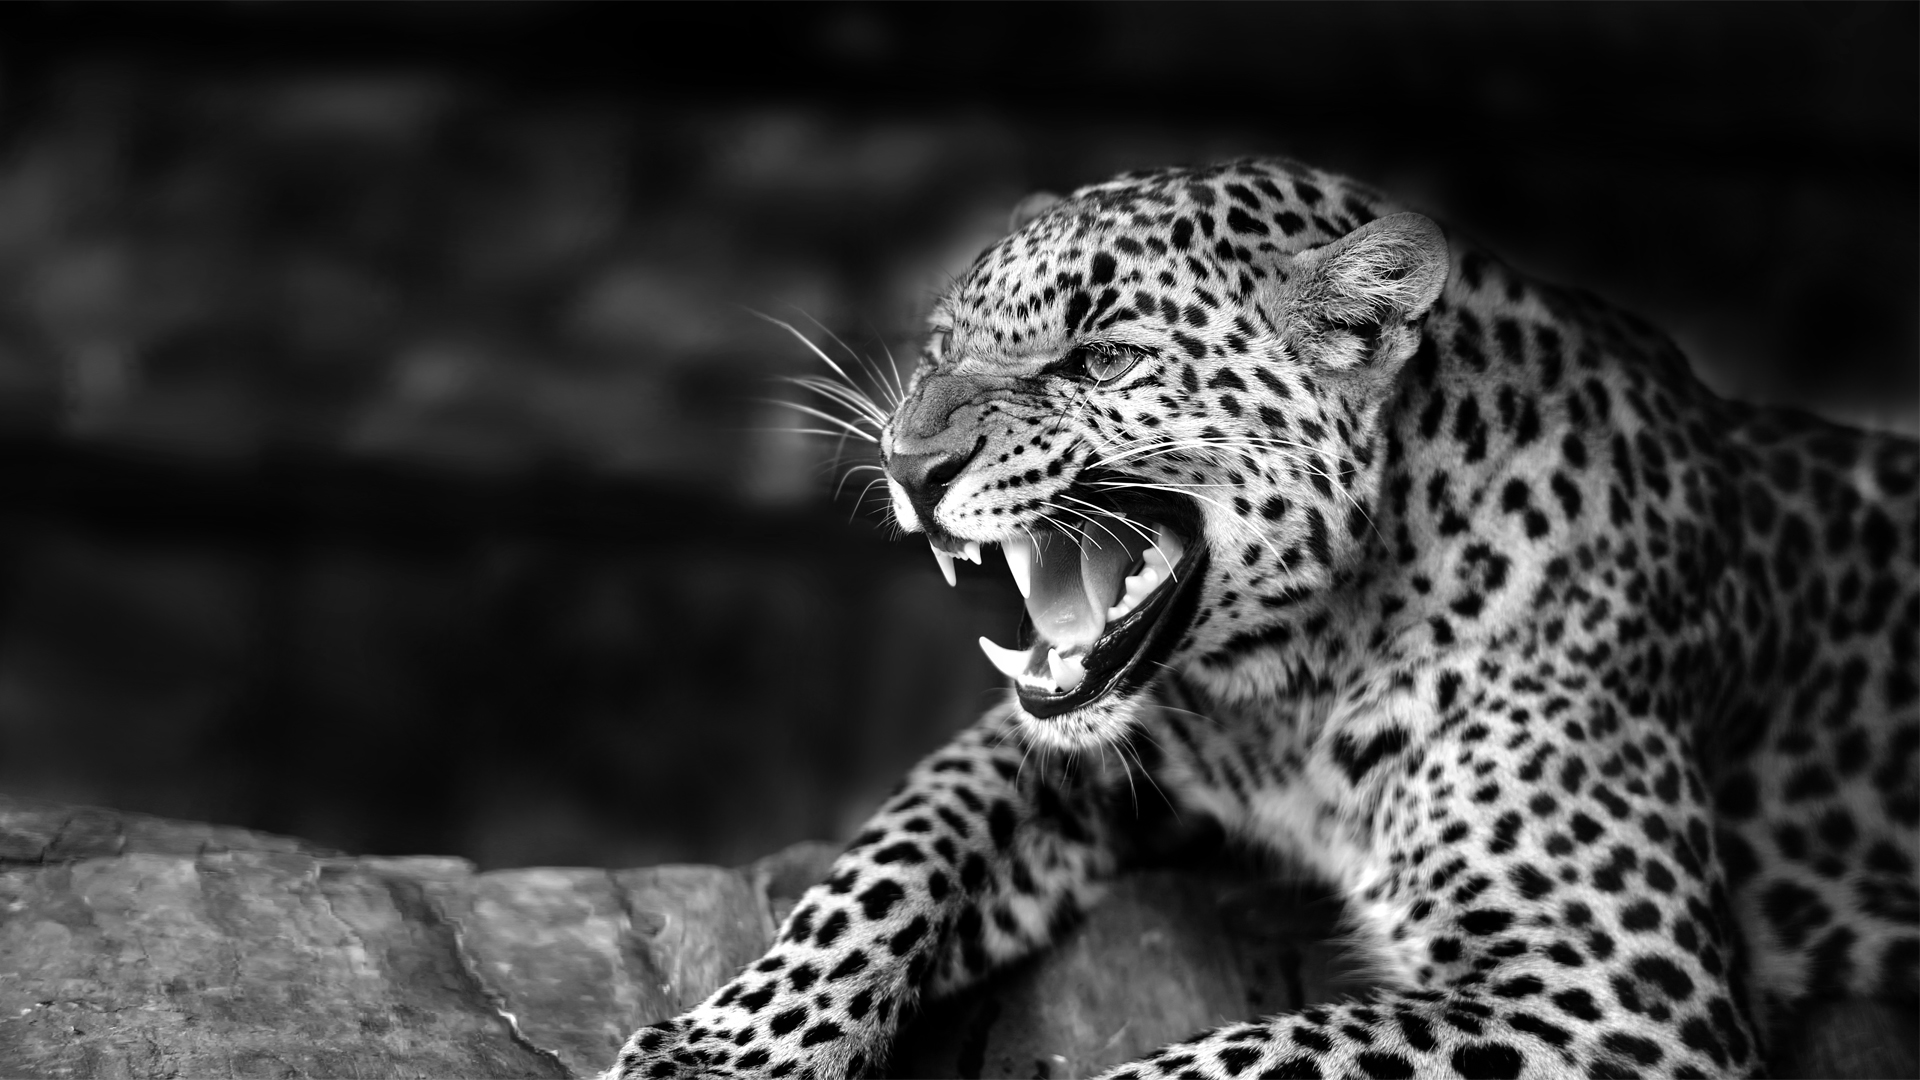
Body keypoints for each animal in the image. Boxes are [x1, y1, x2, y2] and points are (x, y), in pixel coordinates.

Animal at [611, 158, 1919, 1079]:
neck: (1295, 687)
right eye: (941, 346)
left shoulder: (1613, 993)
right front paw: (727, 1050)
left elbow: (1248, 1057)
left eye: (1102, 359)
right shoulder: (1070, 748)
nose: (906, 461)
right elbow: (887, 856)